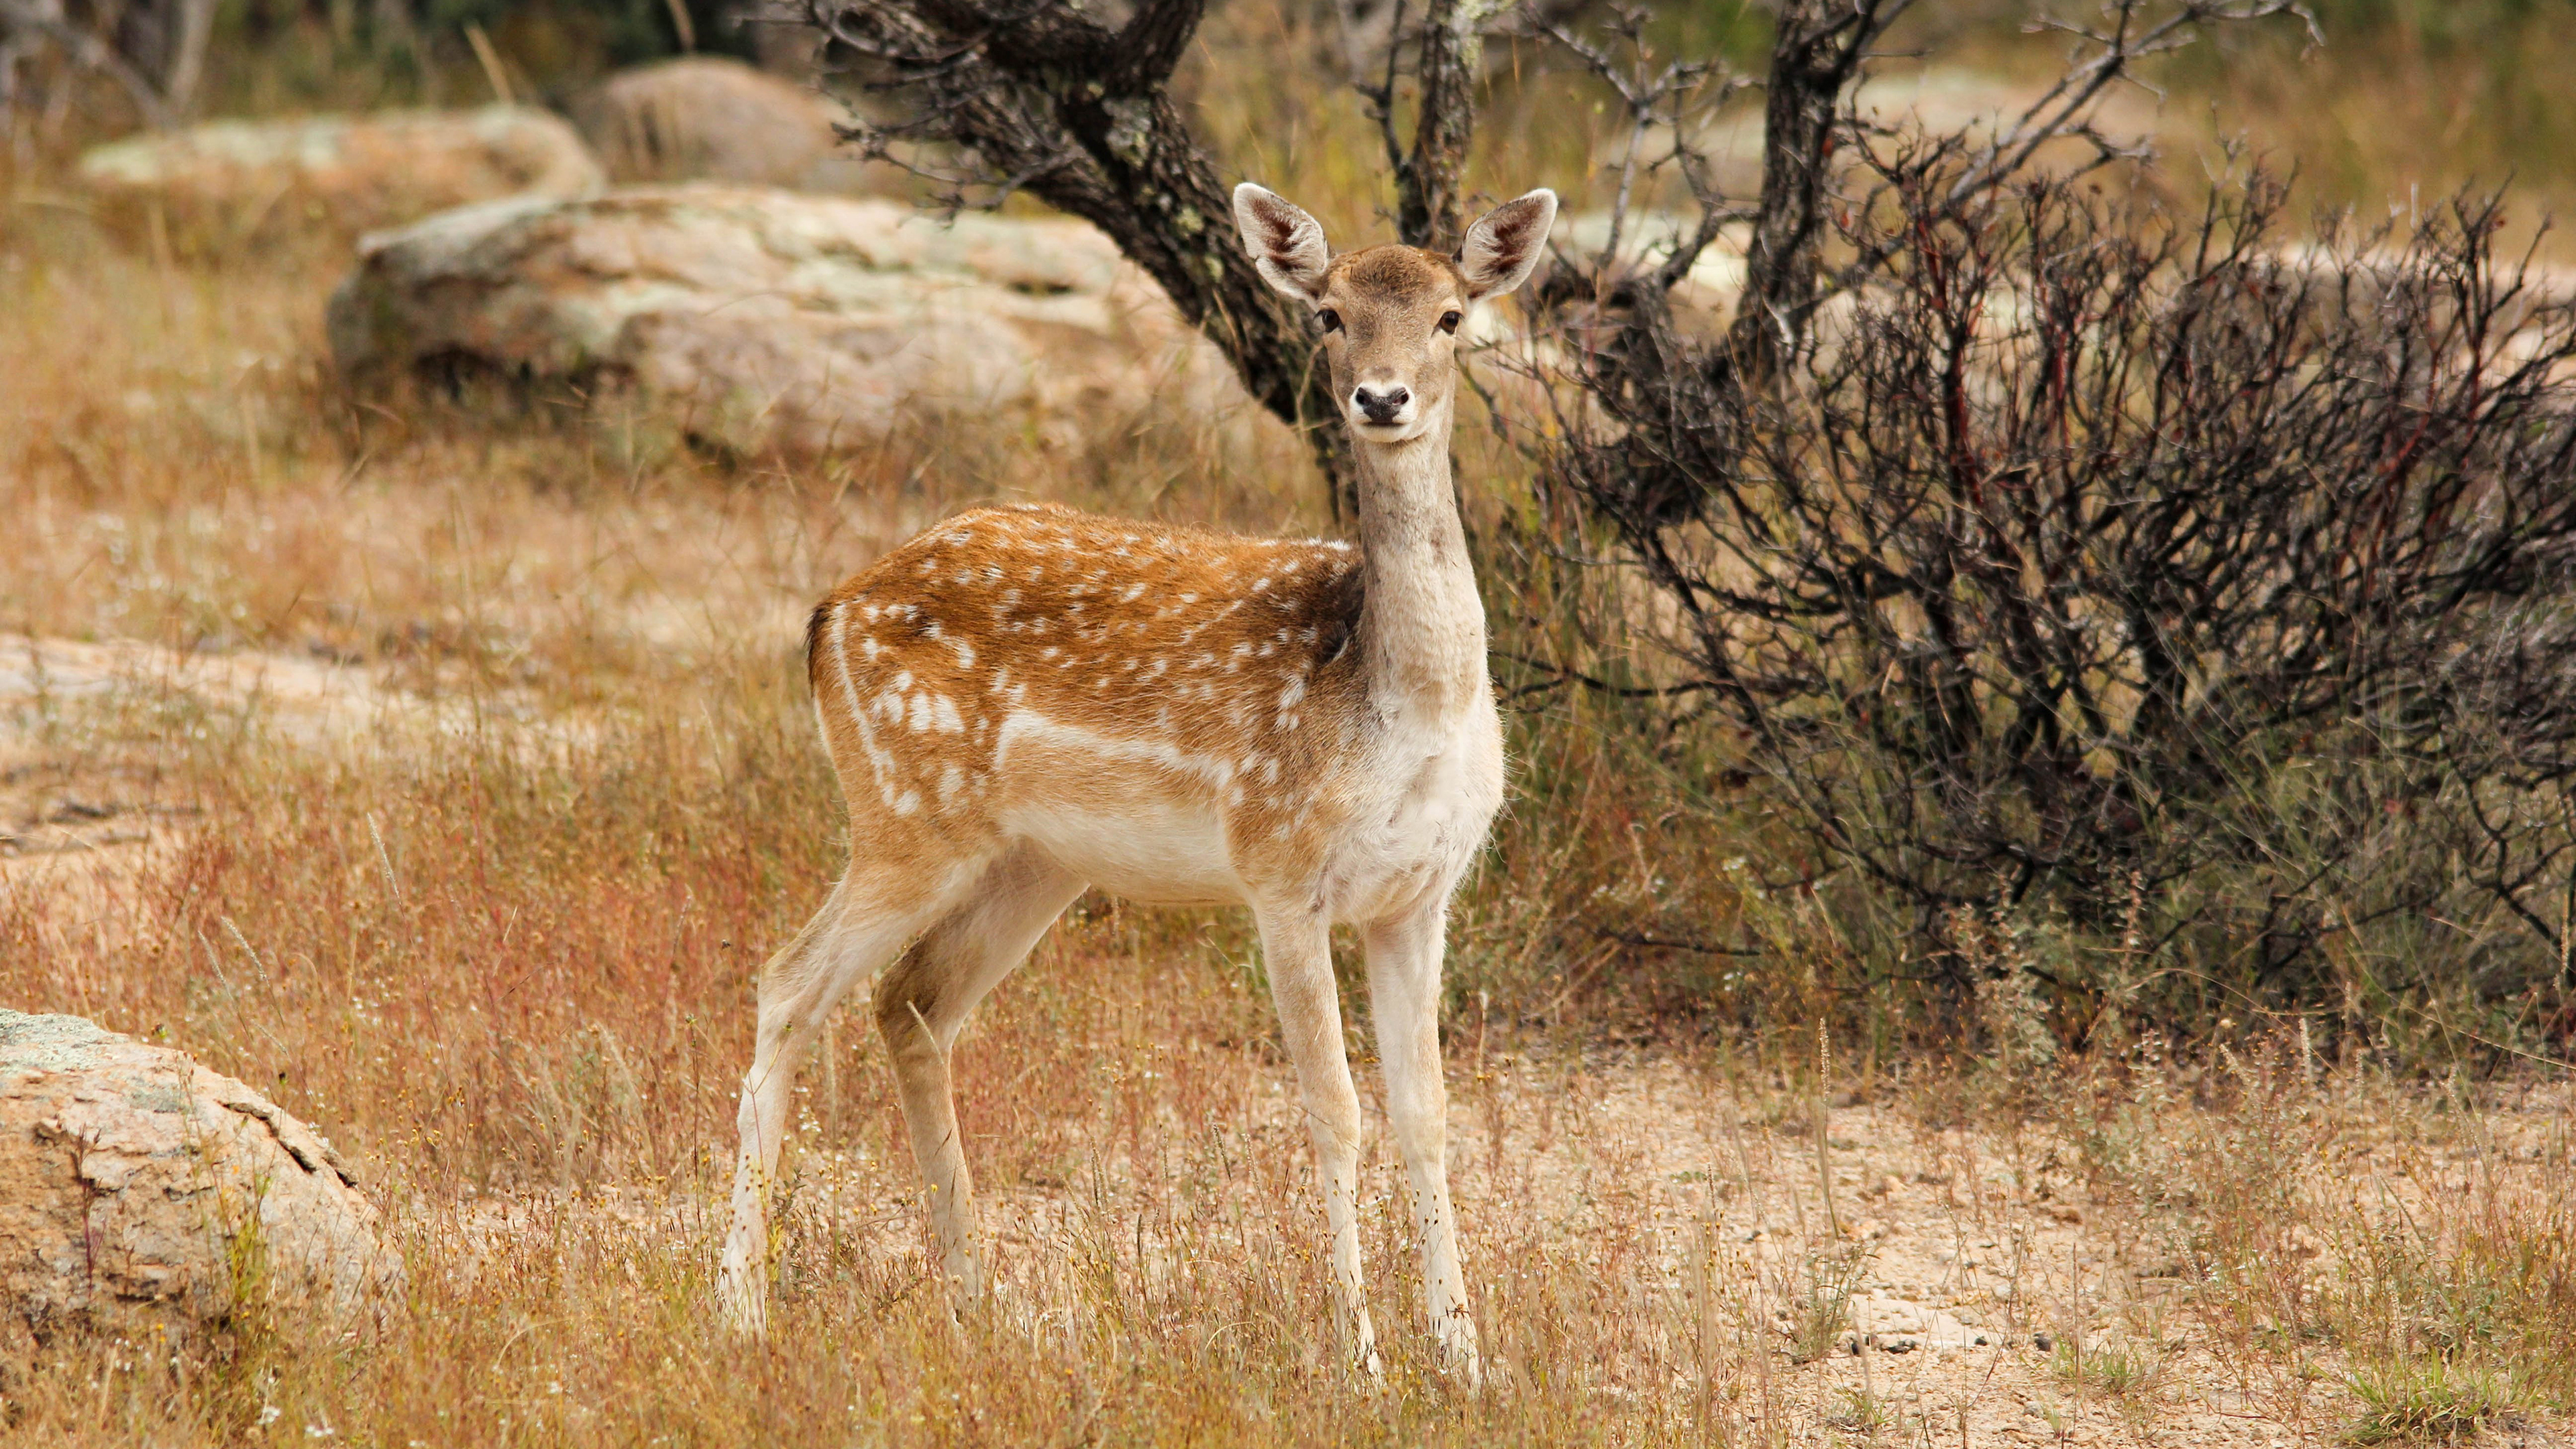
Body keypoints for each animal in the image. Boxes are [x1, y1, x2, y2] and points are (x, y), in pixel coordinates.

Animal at [713, 180, 1558, 1382]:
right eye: (1330, 314)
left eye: (1451, 318)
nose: (1382, 397)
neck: (1395, 703)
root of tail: (828, 611)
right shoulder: (1279, 867)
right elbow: (1334, 1110)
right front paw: (1361, 1362)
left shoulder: (1420, 895)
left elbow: (1428, 1115)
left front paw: (1466, 1364)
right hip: (903, 813)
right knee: (787, 982)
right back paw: (741, 1306)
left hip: (1031, 863)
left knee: (912, 1003)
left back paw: (978, 1298)